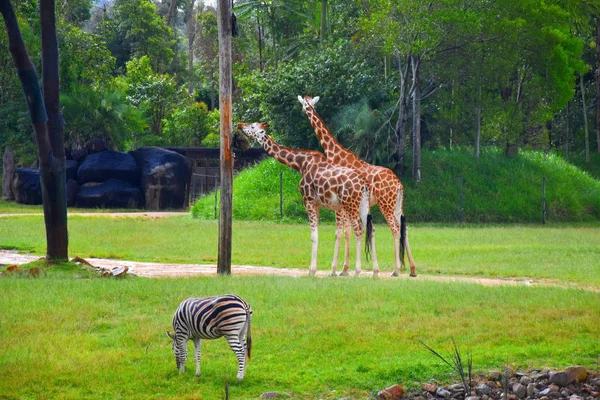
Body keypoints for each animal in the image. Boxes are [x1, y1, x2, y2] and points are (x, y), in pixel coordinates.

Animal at [237, 122, 378, 276]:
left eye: (252, 127)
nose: (240, 125)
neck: (301, 164)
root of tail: (364, 184)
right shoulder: (317, 204)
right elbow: (318, 234)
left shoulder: (308, 200)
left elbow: (313, 236)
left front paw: (311, 271)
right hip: (362, 205)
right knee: (370, 229)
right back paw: (375, 272)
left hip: (350, 204)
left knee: (359, 230)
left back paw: (357, 271)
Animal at [296, 95, 418, 276]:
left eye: (305, 103)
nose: (304, 110)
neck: (335, 154)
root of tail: (399, 185)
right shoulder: (347, 205)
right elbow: (351, 232)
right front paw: (346, 269)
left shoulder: (342, 204)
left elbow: (344, 232)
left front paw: (340, 270)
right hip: (397, 205)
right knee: (405, 229)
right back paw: (412, 269)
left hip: (386, 205)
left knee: (395, 229)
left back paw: (396, 270)